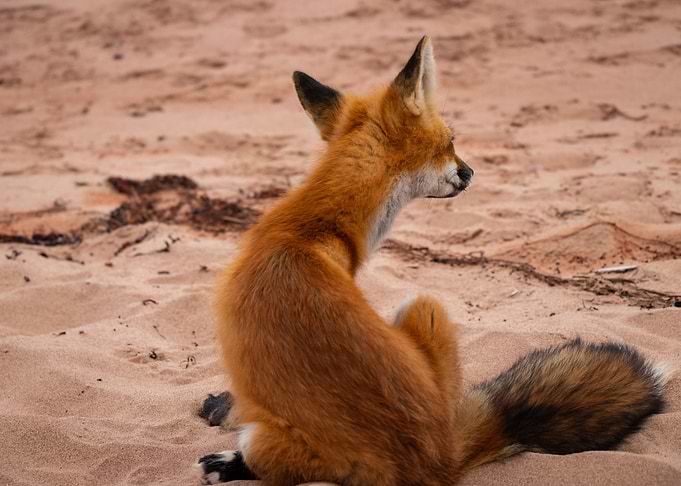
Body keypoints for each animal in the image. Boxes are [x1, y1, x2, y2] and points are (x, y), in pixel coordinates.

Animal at [195, 36, 669, 485]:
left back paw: (229, 462)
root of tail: (444, 456)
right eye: (451, 142)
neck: (313, 227)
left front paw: (221, 413)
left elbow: (238, 407)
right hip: (428, 312)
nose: (471, 172)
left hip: (418, 308)